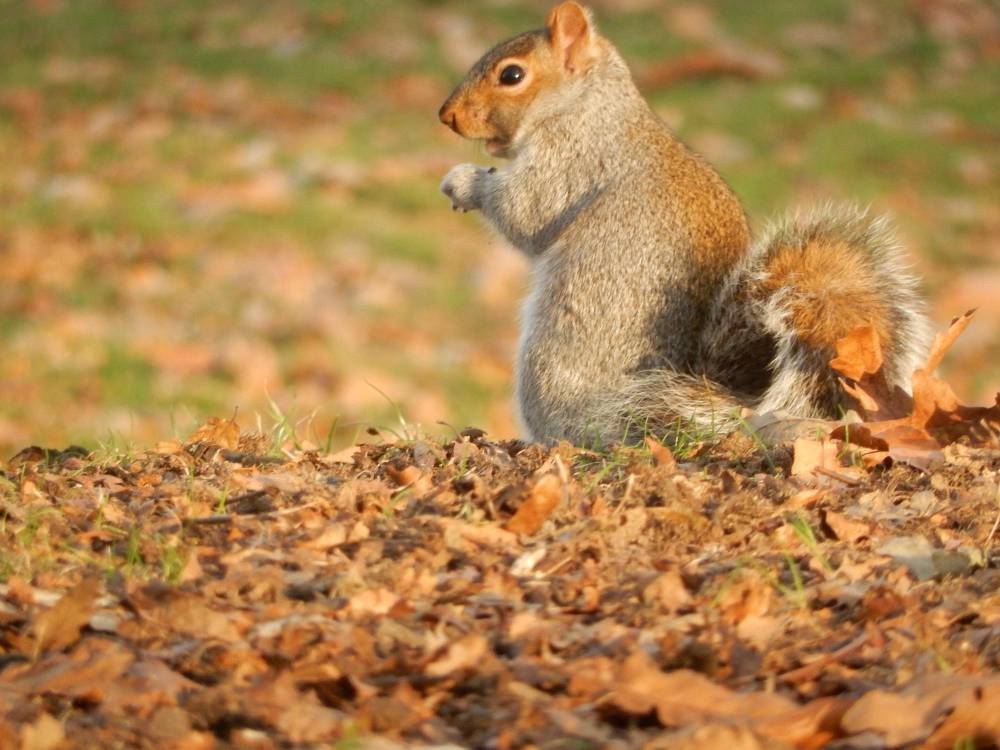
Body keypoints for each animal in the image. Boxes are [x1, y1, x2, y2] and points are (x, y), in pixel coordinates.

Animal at [438, 1, 928, 446]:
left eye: (512, 76)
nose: (446, 116)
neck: (586, 105)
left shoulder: (571, 160)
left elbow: (526, 211)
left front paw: (464, 182)